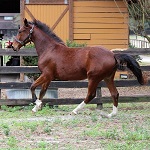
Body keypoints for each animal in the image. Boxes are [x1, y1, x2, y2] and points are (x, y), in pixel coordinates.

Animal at [11, 18, 146, 118]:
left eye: (21, 31)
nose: (14, 46)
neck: (49, 49)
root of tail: (113, 54)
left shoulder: (46, 74)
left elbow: (32, 87)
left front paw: (36, 104)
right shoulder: (48, 77)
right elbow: (42, 92)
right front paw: (36, 107)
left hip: (94, 78)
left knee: (91, 95)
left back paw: (75, 111)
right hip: (108, 78)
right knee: (115, 93)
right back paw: (111, 114)